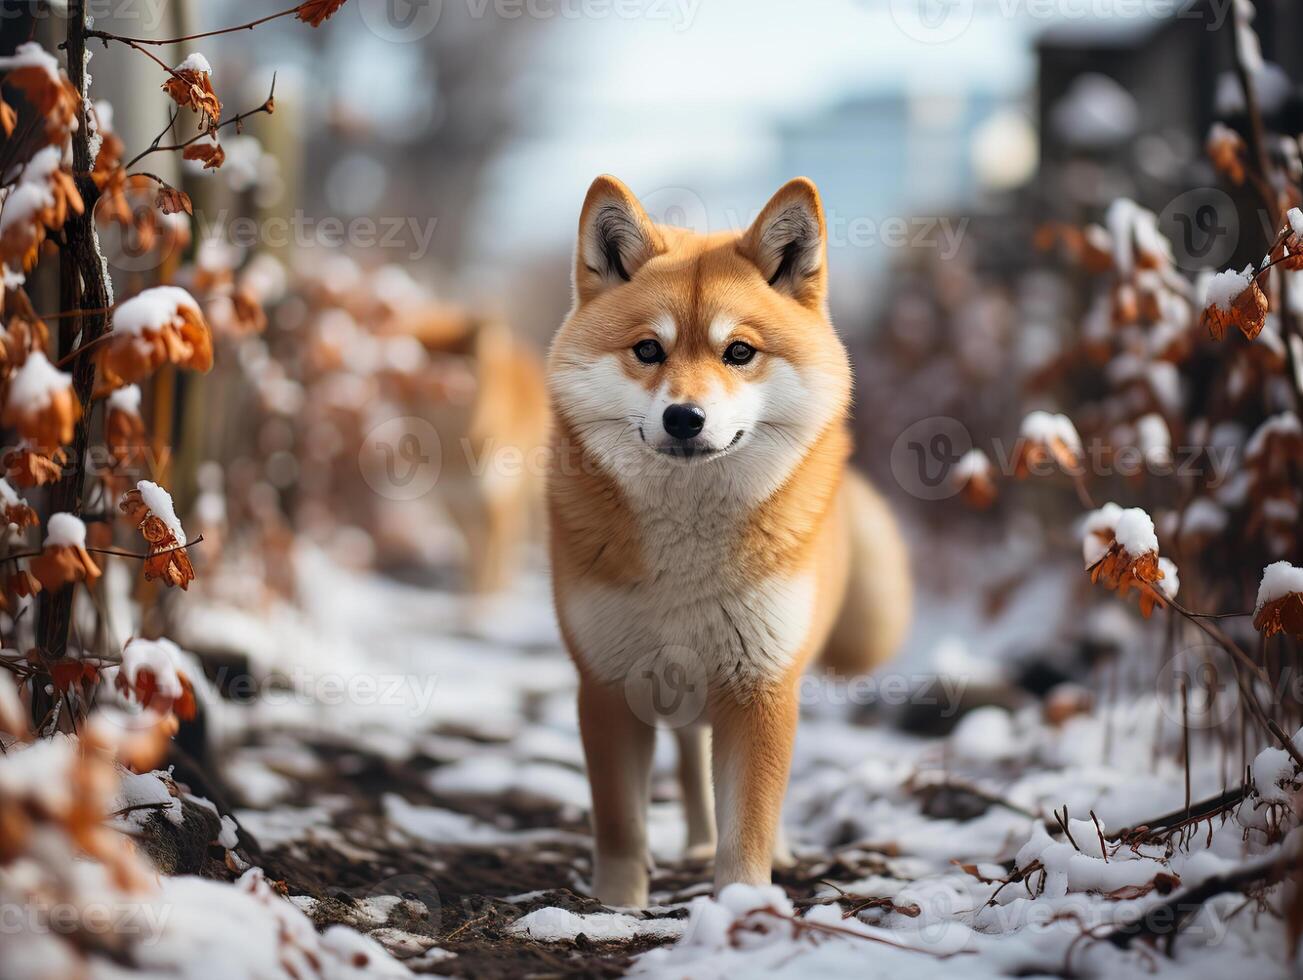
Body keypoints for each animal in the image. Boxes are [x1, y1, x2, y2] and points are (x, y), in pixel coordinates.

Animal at [544, 174, 912, 901]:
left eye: (738, 351)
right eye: (648, 349)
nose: (684, 417)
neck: (687, 553)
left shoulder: (761, 691)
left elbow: (748, 830)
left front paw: (743, 908)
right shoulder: (607, 689)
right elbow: (621, 827)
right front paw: (615, 908)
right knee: (690, 760)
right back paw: (692, 842)